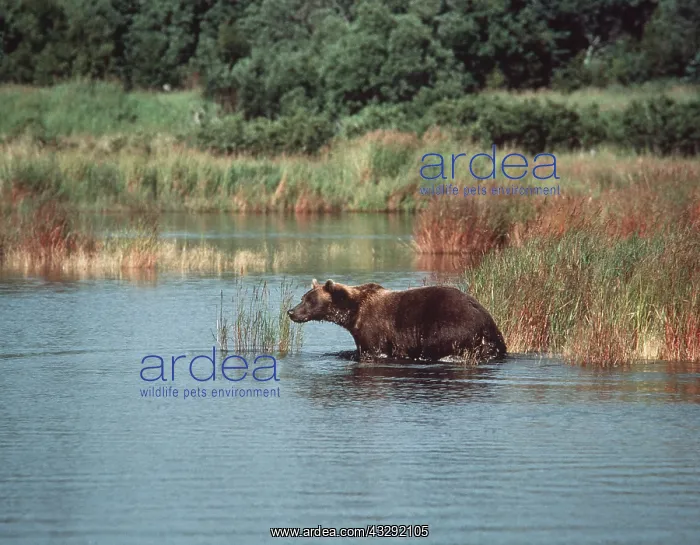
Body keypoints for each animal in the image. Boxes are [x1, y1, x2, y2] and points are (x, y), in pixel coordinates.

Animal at [287, 279, 507, 362]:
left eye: (309, 300)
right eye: (303, 298)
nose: (291, 312)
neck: (353, 312)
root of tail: (486, 319)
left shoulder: (373, 327)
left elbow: (375, 350)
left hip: (449, 325)